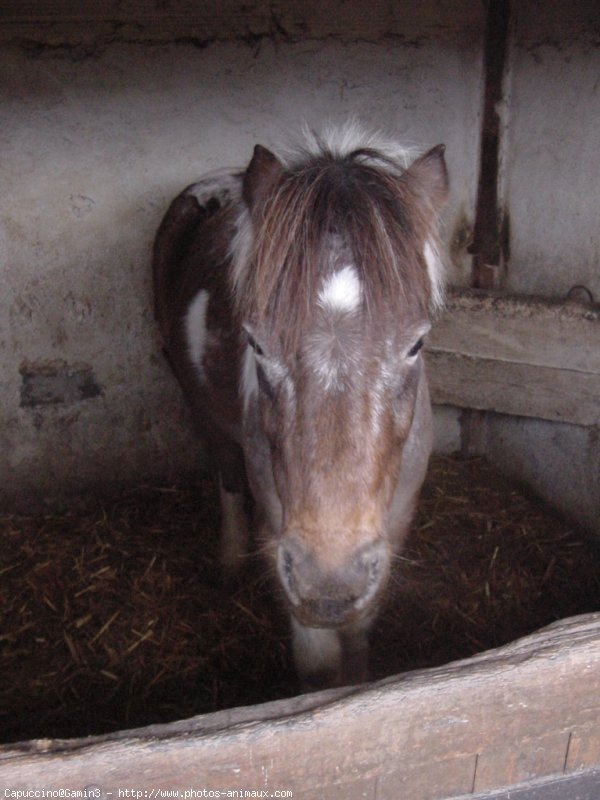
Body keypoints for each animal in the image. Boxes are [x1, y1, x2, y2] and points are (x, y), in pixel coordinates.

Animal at [152, 123, 448, 688]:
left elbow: (358, 634)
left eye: (416, 344)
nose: (328, 579)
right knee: (226, 477)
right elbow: (318, 666)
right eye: (257, 343)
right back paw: (229, 560)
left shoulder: (390, 536)